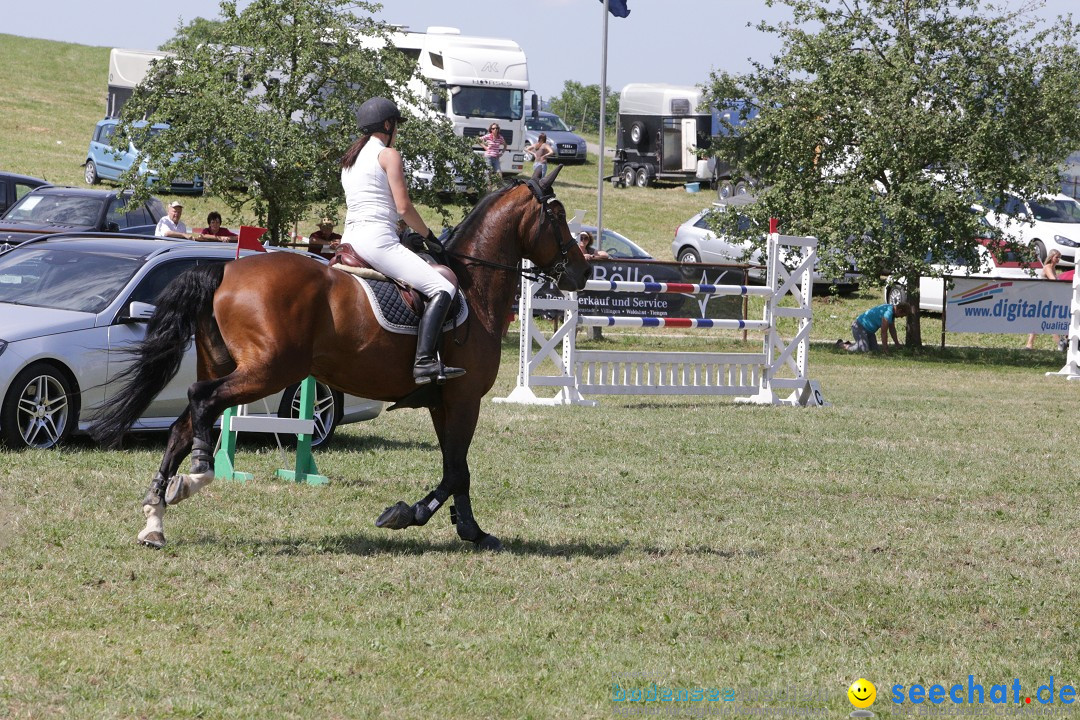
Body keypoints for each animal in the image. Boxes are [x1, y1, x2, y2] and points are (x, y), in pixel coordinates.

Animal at [88, 167, 587, 552]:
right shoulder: (464, 400)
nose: (582, 272)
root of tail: (224, 269)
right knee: (201, 399)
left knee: (181, 424)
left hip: (232, 365)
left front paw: (470, 530)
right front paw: (409, 514)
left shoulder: (444, 402)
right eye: (558, 215)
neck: (473, 286)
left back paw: (156, 519)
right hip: (267, 371)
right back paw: (198, 473)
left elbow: (457, 469)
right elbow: (455, 470)